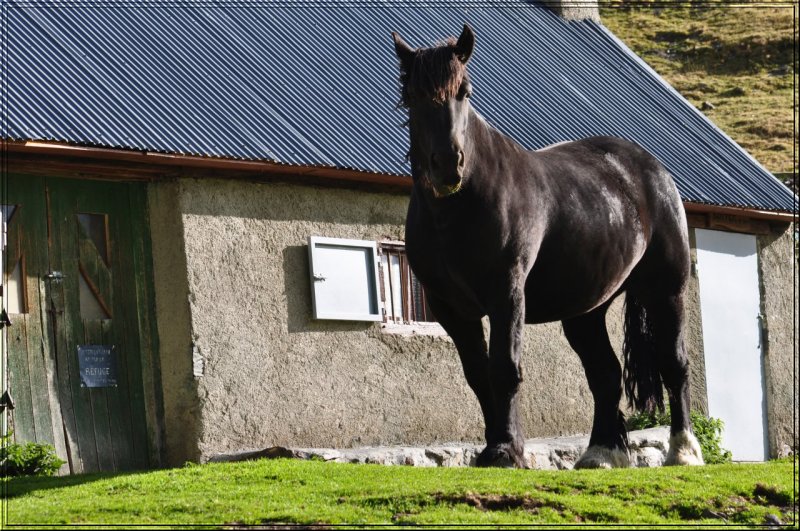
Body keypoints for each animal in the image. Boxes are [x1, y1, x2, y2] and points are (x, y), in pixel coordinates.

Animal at [390, 26, 704, 470]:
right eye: (411, 96)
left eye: (464, 92)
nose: (448, 165)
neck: (458, 210)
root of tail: (651, 168)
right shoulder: (449, 308)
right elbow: (478, 374)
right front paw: (494, 446)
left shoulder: (506, 294)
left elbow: (505, 369)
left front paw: (507, 450)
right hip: (586, 312)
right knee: (605, 375)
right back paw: (601, 452)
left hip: (666, 291)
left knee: (673, 364)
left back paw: (684, 450)